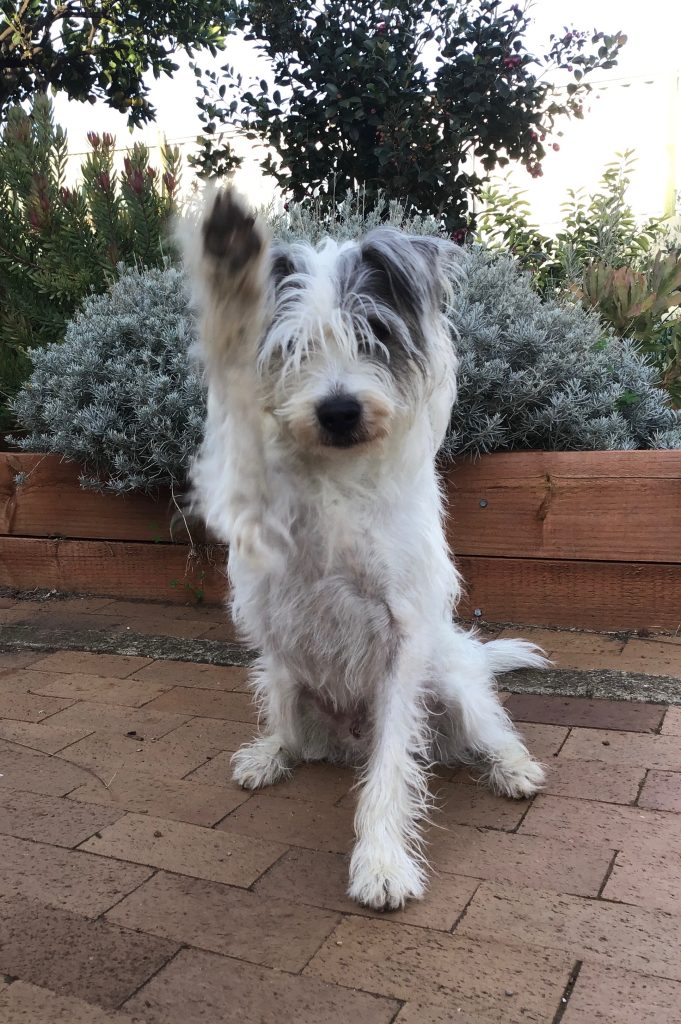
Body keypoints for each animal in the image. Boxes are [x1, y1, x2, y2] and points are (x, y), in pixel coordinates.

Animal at [178, 188, 544, 909]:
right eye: (293, 347)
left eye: (373, 335)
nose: (340, 411)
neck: (336, 474)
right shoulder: (242, 500)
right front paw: (230, 263)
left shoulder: (401, 643)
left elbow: (392, 768)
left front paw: (380, 862)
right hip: (280, 677)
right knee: (291, 735)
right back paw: (270, 754)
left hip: (449, 679)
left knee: (488, 728)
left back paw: (513, 768)